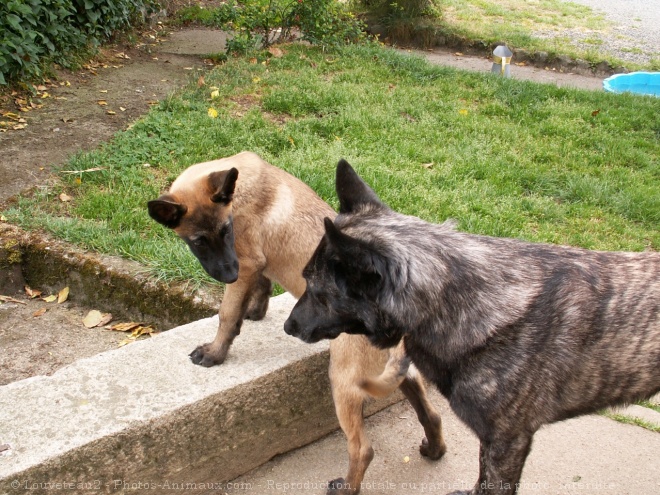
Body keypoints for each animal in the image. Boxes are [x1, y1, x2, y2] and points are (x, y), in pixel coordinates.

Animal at [144, 153, 444, 494]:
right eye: (199, 242)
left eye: (226, 231)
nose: (228, 274)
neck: (241, 186)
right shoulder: (254, 266)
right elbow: (261, 286)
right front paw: (255, 311)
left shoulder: (245, 262)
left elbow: (227, 313)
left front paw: (215, 353)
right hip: (396, 373)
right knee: (431, 415)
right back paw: (434, 450)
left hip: (344, 379)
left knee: (362, 449)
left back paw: (346, 487)